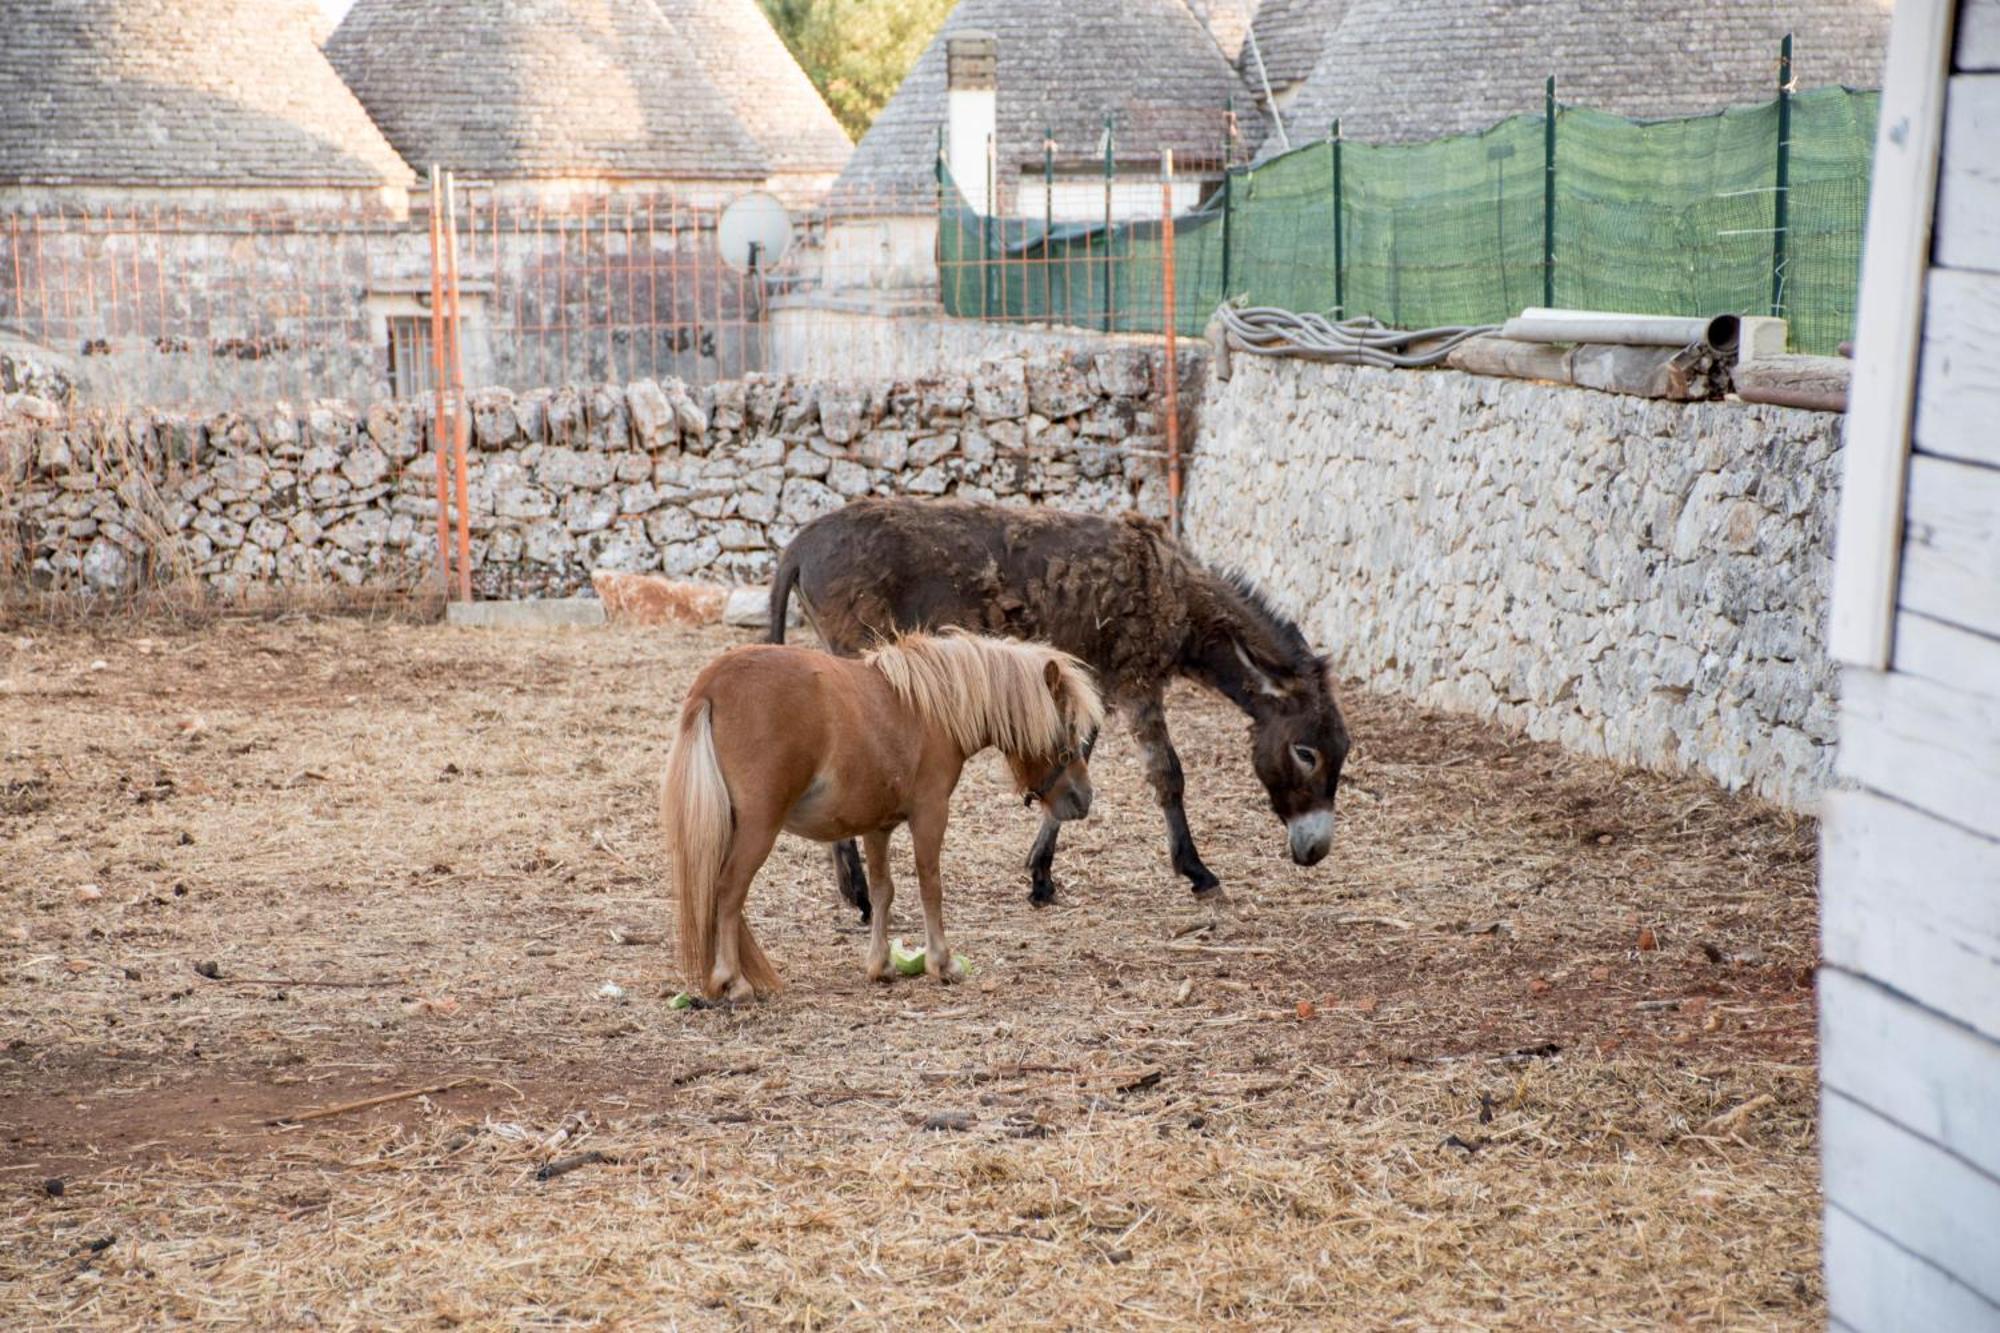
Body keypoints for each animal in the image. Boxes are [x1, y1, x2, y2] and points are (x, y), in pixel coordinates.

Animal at [660, 624, 1104, 996]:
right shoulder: (930, 814)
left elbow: (882, 891)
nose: (1083, 798)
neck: (929, 708)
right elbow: (930, 884)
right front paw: (942, 963)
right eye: (1066, 727)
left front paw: (881, 965)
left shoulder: (877, 826)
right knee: (728, 891)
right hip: (758, 827)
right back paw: (732, 982)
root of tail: (712, 685)